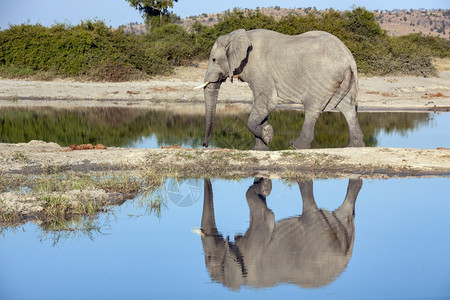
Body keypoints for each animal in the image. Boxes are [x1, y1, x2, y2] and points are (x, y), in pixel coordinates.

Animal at [197, 178, 362, 290]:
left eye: (209, 257)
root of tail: (343, 257)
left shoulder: (256, 244)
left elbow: (262, 211)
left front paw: (265, 186)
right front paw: (264, 186)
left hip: (317, 236)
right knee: (345, 213)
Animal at [198, 29, 366, 150]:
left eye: (214, 60)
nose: (204, 145)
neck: (237, 36)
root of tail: (349, 60)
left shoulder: (259, 69)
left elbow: (268, 102)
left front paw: (267, 134)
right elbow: (262, 105)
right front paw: (260, 148)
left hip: (323, 76)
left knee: (312, 106)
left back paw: (296, 146)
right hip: (345, 78)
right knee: (348, 107)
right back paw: (355, 146)